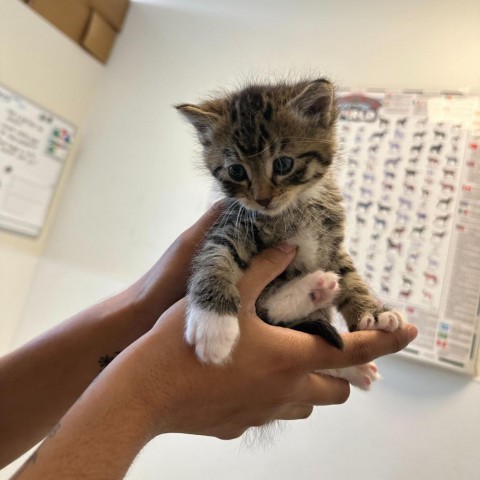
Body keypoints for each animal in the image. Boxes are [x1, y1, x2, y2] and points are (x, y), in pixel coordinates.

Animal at [175, 77, 402, 388]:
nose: (262, 199)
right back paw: (313, 290)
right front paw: (213, 324)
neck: (295, 208)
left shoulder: (332, 242)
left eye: (283, 164)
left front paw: (373, 312)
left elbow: (350, 276)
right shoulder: (232, 224)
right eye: (236, 171)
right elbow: (215, 258)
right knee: (267, 308)